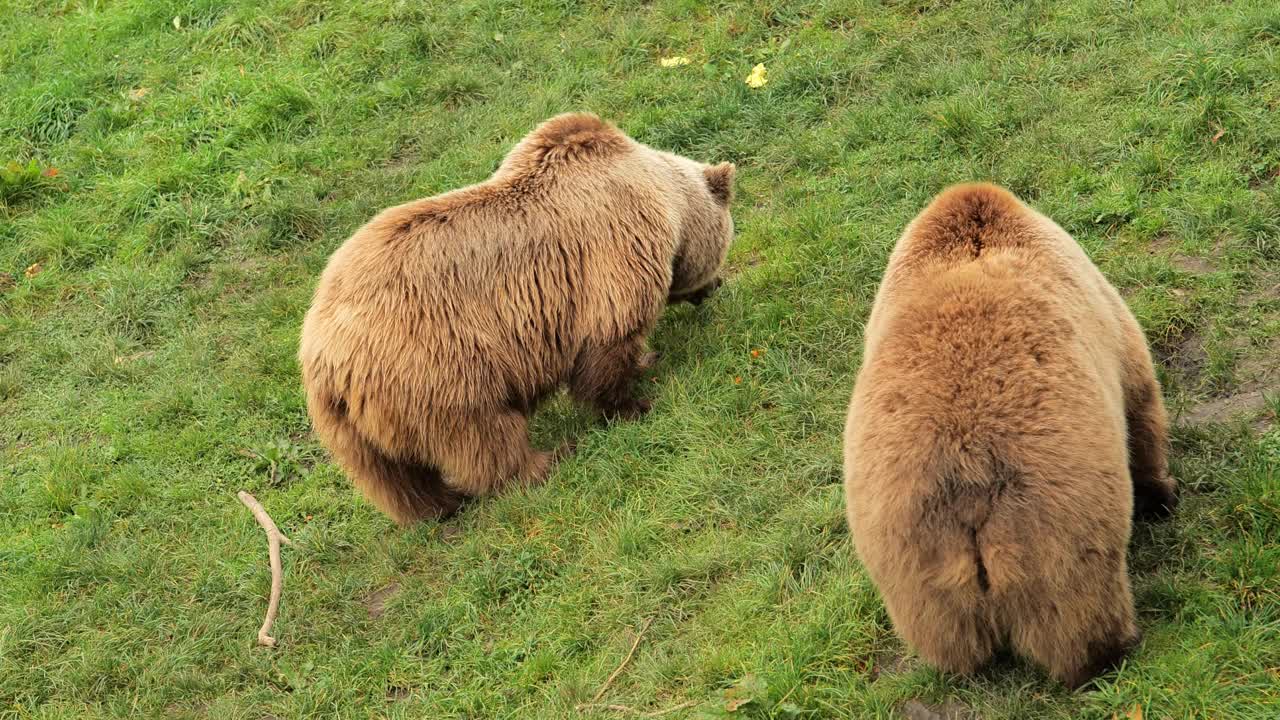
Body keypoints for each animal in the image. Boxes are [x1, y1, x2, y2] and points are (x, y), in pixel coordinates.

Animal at [299, 114, 737, 525]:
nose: (715, 286)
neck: (665, 202)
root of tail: (324, 354)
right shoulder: (612, 255)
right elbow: (608, 344)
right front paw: (633, 404)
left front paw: (647, 361)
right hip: (437, 365)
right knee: (482, 435)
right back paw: (544, 462)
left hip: (350, 425)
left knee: (392, 477)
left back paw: (439, 506)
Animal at [839, 181, 1177, 686]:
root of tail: (971, 493)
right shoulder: (1106, 318)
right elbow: (1141, 403)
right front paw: (1162, 492)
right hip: (1059, 527)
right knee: (1076, 607)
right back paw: (1108, 654)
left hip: (907, 553)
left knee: (944, 632)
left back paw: (961, 666)